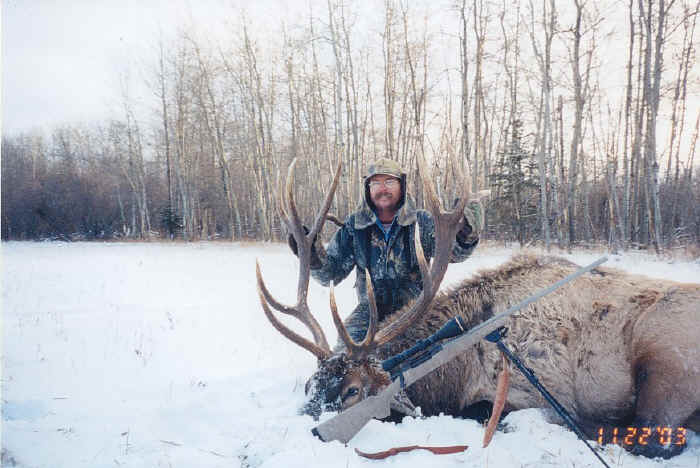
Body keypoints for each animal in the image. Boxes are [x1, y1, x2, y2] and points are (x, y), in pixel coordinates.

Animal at [255, 158, 700, 459]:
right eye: (311, 385)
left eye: (351, 390)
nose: (304, 432)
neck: (458, 366)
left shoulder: (529, 383)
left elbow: (484, 409)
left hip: (665, 359)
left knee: (656, 438)